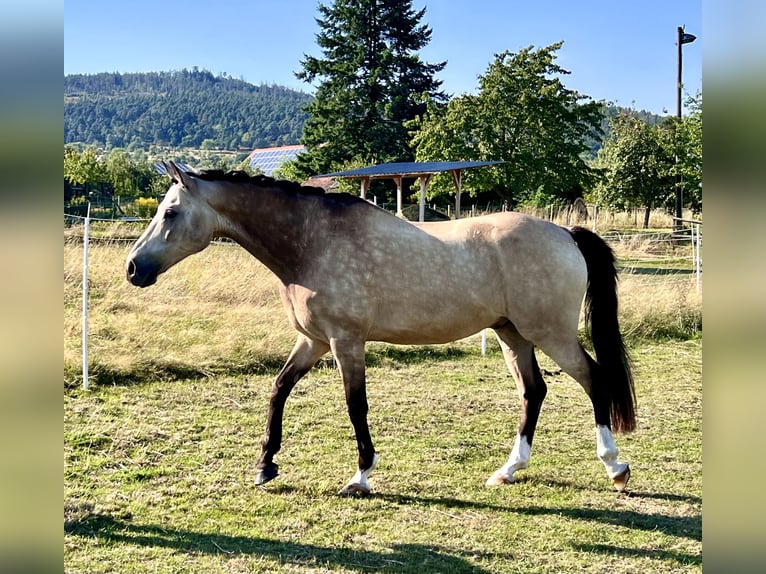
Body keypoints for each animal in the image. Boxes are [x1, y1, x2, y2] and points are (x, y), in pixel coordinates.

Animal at [126, 163, 640, 500]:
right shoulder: (313, 341)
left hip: (550, 334)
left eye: (170, 213)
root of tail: (567, 234)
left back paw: (615, 467)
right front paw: (265, 466)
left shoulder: (345, 342)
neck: (313, 242)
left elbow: (356, 406)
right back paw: (508, 470)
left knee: (594, 380)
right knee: (533, 392)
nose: (133, 269)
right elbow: (278, 390)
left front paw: (360, 477)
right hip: (512, 334)